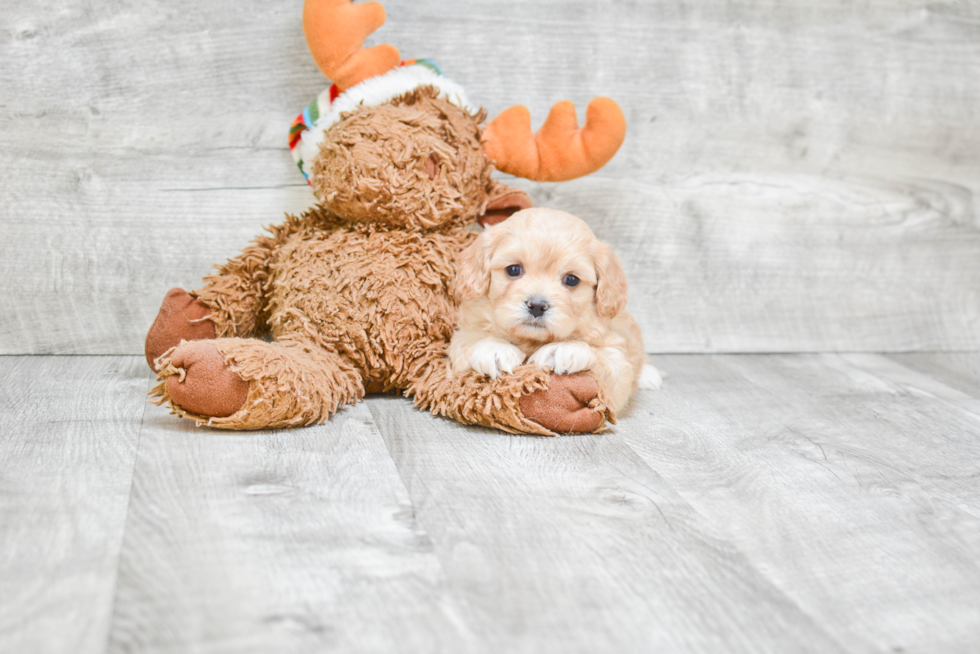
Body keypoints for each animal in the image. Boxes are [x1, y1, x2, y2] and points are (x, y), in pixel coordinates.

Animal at [450, 208, 664, 418]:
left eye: (571, 279)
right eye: (514, 269)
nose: (537, 305)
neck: (532, 340)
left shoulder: (616, 362)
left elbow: (607, 363)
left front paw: (565, 348)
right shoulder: (459, 347)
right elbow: (469, 342)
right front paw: (496, 348)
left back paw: (649, 375)